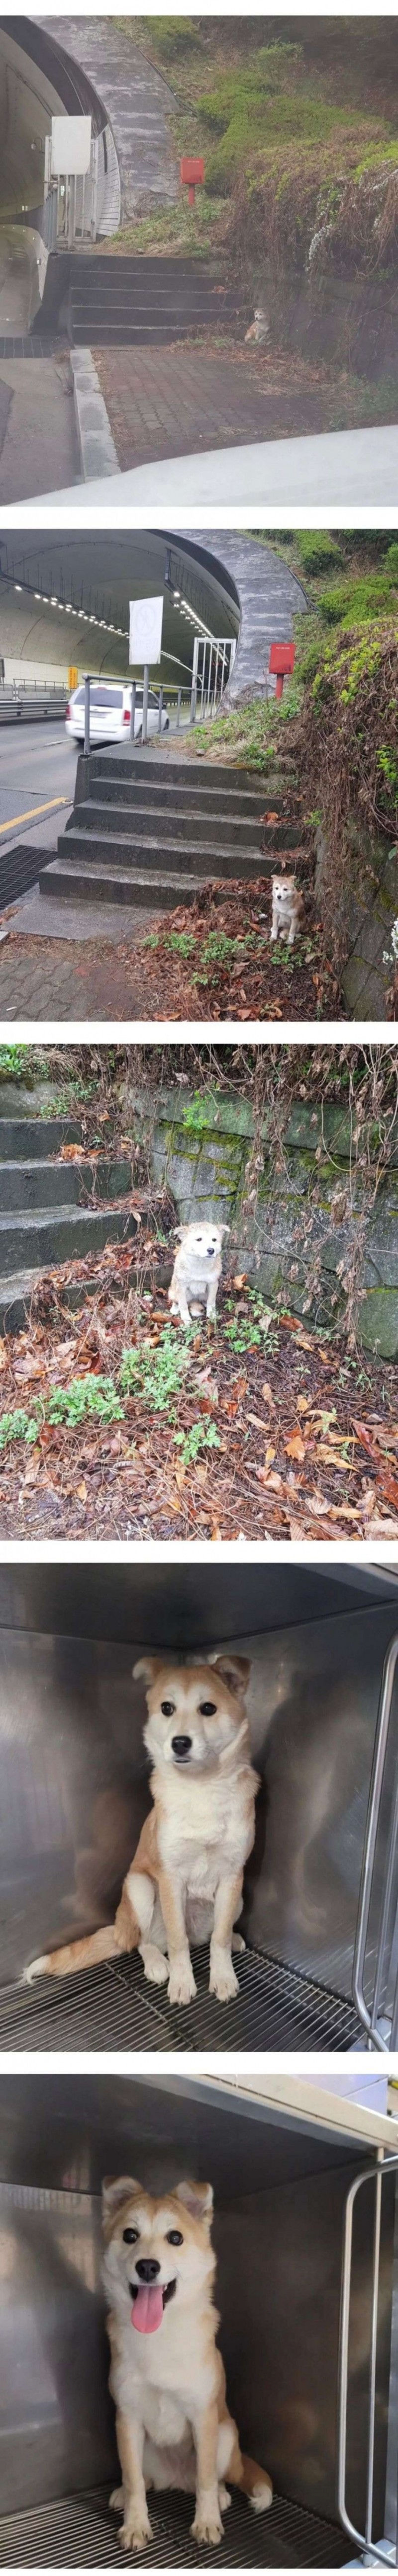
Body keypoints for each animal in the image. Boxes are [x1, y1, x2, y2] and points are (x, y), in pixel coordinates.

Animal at [26, 1648, 260, 2009]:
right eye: (167, 1708)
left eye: (209, 1709)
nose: (180, 1743)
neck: (201, 1787)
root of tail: (119, 1927)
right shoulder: (170, 1878)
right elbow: (177, 1942)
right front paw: (182, 1982)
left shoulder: (233, 1874)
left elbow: (218, 1940)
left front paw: (222, 1977)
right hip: (140, 1888)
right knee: (144, 1941)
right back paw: (158, 1965)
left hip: (237, 1901)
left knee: (209, 1938)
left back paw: (233, 1939)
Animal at [102, 2164, 274, 2545]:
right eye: (130, 2235)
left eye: (176, 2238)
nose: (148, 2267)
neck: (160, 2335)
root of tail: (176, 2481)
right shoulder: (127, 2419)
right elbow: (134, 2481)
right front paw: (136, 2524)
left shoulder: (203, 2417)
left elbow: (206, 2479)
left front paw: (207, 2521)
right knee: (142, 2479)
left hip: (226, 2435)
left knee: (210, 2479)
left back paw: (221, 2496)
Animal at [169, 1221, 230, 1329]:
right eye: (199, 1239)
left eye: (214, 1240)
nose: (211, 1250)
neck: (200, 1263)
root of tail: (194, 1300)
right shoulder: (181, 1286)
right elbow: (183, 1305)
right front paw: (186, 1319)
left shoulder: (213, 1283)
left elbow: (211, 1301)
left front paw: (212, 1315)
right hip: (174, 1291)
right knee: (176, 1301)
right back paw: (175, 1309)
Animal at [270, 876, 304, 948]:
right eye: (277, 888)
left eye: (285, 889)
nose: (279, 897)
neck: (283, 904)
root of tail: (286, 927)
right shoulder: (276, 914)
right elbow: (275, 927)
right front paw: (273, 937)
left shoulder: (295, 918)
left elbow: (292, 931)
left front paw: (290, 941)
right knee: (277, 926)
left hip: (300, 924)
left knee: (296, 931)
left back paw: (297, 934)